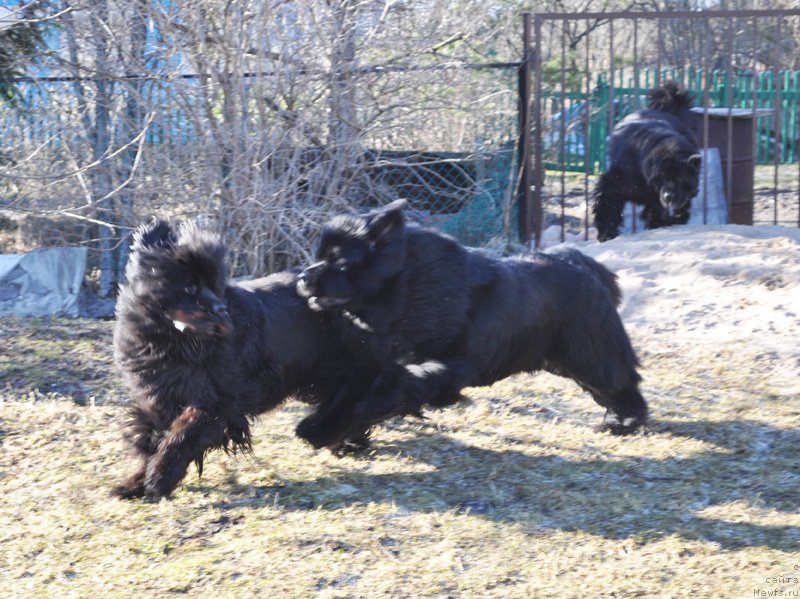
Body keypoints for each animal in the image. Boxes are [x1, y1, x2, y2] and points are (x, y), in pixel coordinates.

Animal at [111, 220, 368, 502]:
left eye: (214, 285)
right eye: (189, 286)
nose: (221, 309)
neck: (174, 344)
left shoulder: (218, 403)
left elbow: (183, 434)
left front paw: (159, 478)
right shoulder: (159, 401)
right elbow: (153, 440)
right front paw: (135, 484)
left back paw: (349, 442)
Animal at [296, 202, 648, 450]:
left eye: (340, 262)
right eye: (319, 256)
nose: (302, 275)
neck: (407, 290)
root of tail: (580, 263)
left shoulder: (447, 365)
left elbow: (400, 385)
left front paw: (342, 427)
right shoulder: (369, 365)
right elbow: (346, 397)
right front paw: (328, 431)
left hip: (588, 353)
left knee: (619, 383)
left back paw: (625, 421)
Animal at [592, 81, 700, 241]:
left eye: (680, 177)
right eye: (662, 177)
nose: (668, 196)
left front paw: (670, 220)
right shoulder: (614, 182)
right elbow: (607, 203)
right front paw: (607, 233)